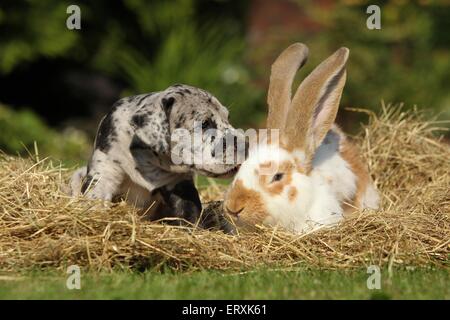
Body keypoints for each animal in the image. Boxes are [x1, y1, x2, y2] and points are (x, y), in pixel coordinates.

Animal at [71, 83, 244, 228]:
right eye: (205, 124)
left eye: (227, 118)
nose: (245, 144)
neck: (145, 160)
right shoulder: (103, 176)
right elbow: (95, 200)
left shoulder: (180, 186)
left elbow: (190, 214)